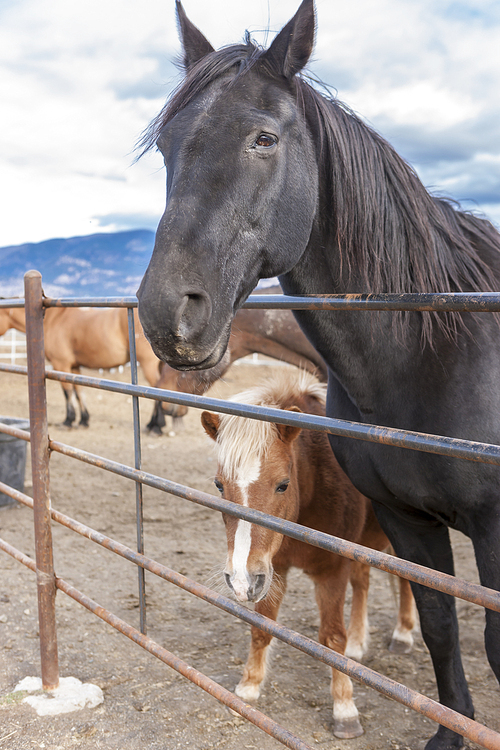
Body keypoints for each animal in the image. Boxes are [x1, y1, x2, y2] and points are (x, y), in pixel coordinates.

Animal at [0, 302, 160, 426]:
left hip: (148, 364)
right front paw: (84, 420)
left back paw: (155, 425)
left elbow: (67, 392)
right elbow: (79, 391)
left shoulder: (61, 365)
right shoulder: (74, 367)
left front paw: (68, 420)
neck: (51, 319)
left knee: (158, 387)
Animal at [201, 370, 416, 740]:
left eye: (283, 485)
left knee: (405, 579)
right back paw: (359, 644)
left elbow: (331, 638)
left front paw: (344, 709)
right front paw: (248, 688)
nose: (240, 579)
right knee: (363, 582)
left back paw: (402, 634)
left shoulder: (332, 570)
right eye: (218, 485)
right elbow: (262, 628)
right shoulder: (273, 570)